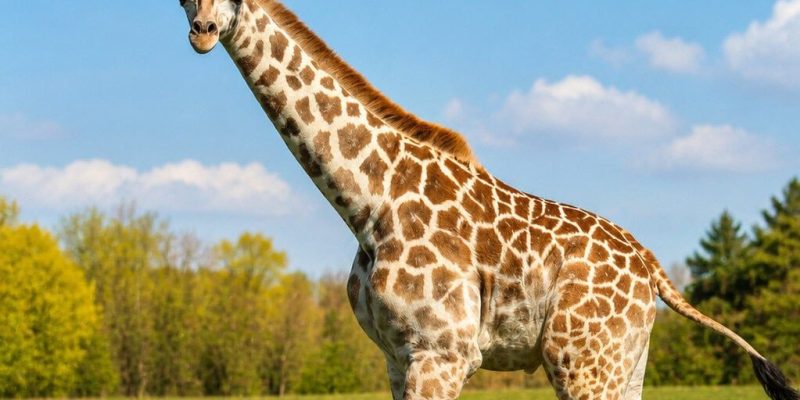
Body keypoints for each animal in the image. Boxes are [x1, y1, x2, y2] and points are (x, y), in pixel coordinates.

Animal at [177, 1, 799, 399]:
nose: (202, 31)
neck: (367, 204)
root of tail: (652, 268)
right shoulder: (396, 358)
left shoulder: (442, 354)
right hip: (625, 362)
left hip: (581, 362)